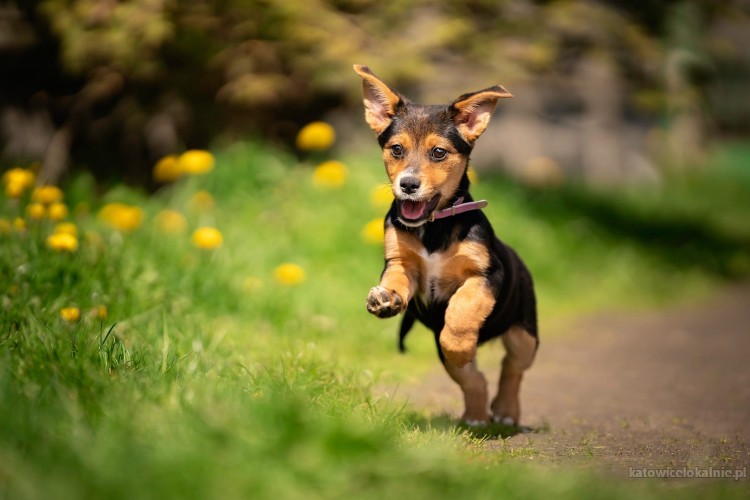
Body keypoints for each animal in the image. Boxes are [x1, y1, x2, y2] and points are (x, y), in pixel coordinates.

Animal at [356, 65, 536, 426]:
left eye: (438, 152)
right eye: (396, 149)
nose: (408, 184)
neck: (433, 227)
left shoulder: (486, 274)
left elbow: (463, 307)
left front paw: (459, 342)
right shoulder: (401, 262)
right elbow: (396, 280)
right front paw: (386, 298)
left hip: (525, 333)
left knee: (512, 367)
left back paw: (505, 410)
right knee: (474, 378)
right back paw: (477, 414)